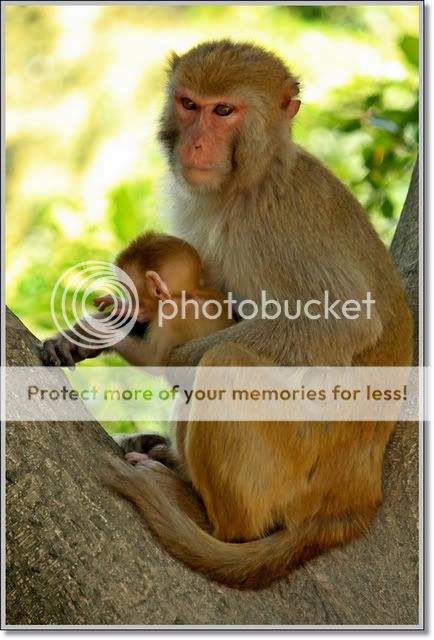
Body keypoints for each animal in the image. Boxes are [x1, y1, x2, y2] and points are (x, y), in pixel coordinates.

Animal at [42, 40, 413, 589]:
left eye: (224, 111)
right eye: (189, 105)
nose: (196, 144)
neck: (247, 184)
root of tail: (356, 498)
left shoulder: (281, 219)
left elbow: (341, 320)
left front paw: (162, 356)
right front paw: (86, 333)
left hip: (295, 469)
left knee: (227, 363)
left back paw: (203, 511)